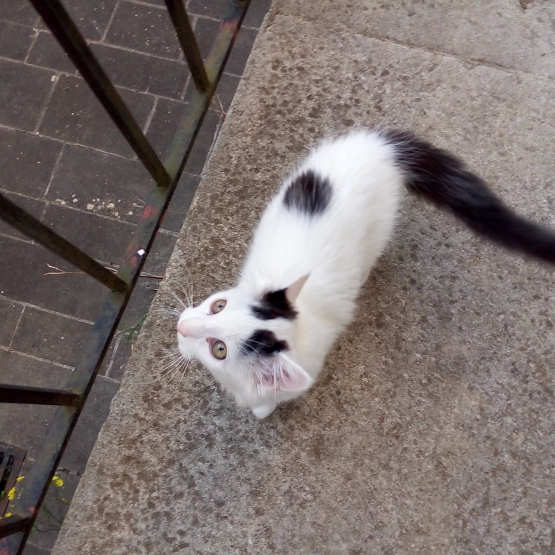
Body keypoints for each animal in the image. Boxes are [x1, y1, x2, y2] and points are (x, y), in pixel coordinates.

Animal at [175, 129, 555, 416]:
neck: (300, 324)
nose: (181, 326)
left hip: (379, 224)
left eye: (219, 349)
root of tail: (379, 146)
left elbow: (267, 403)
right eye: (219, 305)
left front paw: (261, 408)